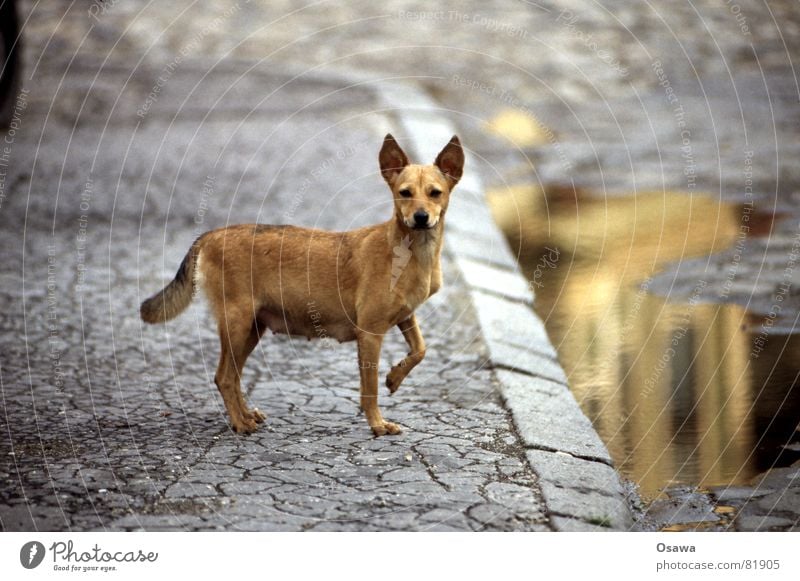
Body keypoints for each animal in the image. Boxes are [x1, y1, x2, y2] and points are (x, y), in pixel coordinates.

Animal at [138, 134, 462, 432]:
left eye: (435, 193)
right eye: (404, 193)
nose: (420, 217)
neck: (411, 251)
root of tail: (210, 236)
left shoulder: (406, 316)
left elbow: (420, 350)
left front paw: (394, 377)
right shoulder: (370, 333)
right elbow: (368, 389)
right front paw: (377, 424)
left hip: (252, 328)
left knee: (232, 376)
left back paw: (246, 415)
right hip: (237, 324)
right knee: (225, 377)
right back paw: (240, 424)